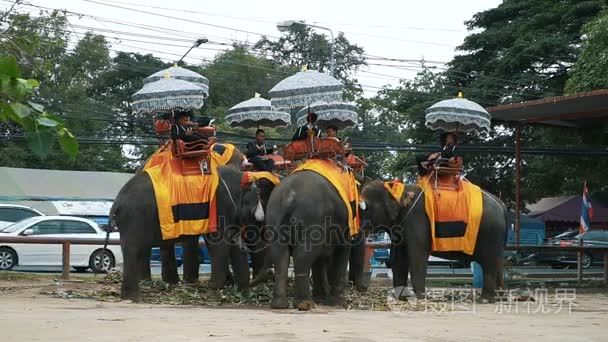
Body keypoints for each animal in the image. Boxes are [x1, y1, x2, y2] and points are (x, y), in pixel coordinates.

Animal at [110, 164, 270, 300]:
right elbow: (218, 243)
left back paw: (130, 296)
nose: (258, 287)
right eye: (257, 218)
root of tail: (117, 202)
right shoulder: (220, 206)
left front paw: (243, 291)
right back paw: (134, 296)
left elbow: (234, 244)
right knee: (134, 249)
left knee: (131, 249)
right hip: (136, 216)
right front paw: (214, 287)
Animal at [266, 171, 356, 310]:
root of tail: (289, 197)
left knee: (280, 253)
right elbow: (342, 251)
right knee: (303, 254)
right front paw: (339, 303)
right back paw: (304, 304)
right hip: (312, 218)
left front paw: (321, 299)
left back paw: (279, 305)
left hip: (274, 216)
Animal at [360, 180, 508, 300]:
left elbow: (417, 255)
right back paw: (500, 297)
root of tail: (502, 205)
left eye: (365, 208)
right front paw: (400, 298)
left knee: (489, 263)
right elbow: (398, 258)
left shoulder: (416, 219)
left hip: (490, 231)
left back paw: (485, 300)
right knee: (497, 261)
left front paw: (420, 298)